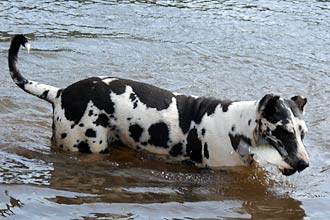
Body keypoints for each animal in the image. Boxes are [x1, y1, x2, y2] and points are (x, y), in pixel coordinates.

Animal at [7, 34, 310, 175]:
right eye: (284, 131)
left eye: (303, 133)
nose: (305, 163)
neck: (238, 129)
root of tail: (60, 93)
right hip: (87, 147)